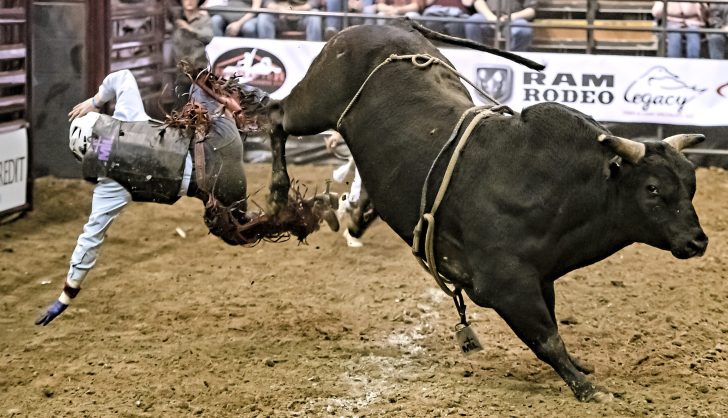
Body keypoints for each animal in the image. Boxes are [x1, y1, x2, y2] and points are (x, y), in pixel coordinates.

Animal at [263, 19, 709, 402]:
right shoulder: (507, 285)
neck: (551, 187)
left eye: (691, 185)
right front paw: (586, 388)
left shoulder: (541, 277)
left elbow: (553, 325)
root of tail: (383, 25)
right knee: (276, 115)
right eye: (653, 189)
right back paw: (277, 195)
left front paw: (581, 367)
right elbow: (547, 338)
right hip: (314, 105)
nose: (698, 242)